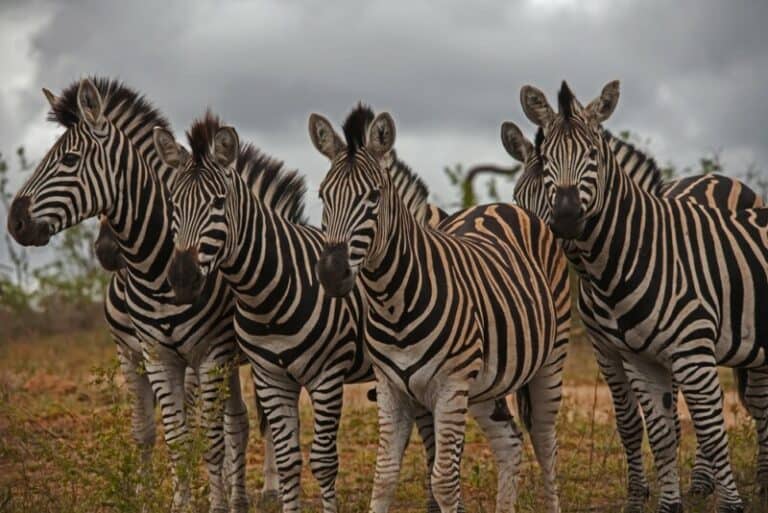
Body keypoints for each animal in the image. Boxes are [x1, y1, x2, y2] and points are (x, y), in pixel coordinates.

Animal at [7, 78, 258, 513]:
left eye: (69, 159)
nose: (15, 222)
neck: (154, 270)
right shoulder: (151, 355)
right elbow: (169, 437)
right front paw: (172, 503)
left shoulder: (209, 354)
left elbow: (209, 441)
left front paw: (214, 503)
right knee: (236, 421)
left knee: (246, 424)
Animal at [160, 110, 446, 513]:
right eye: (173, 202)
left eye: (218, 202)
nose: (182, 278)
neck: (267, 294)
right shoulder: (270, 376)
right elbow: (287, 459)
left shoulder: (327, 375)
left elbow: (324, 462)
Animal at [310, 108, 570, 513]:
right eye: (323, 195)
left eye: (374, 196)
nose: (331, 273)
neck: (392, 303)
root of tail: (504, 205)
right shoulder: (391, 389)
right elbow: (384, 478)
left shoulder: (449, 387)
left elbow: (445, 481)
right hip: (486, 383)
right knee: (510, 443)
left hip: (548, 361)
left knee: (545, 442)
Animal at [519, 79, 768, 513]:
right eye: (548, 160)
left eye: (593, 154)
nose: (564, 218)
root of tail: (720, 178)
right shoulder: (623, 352)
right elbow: (651, 428)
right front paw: (657, 500)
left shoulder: (688, 349)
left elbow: (710, 427)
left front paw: (728, 504)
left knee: (755, 405)